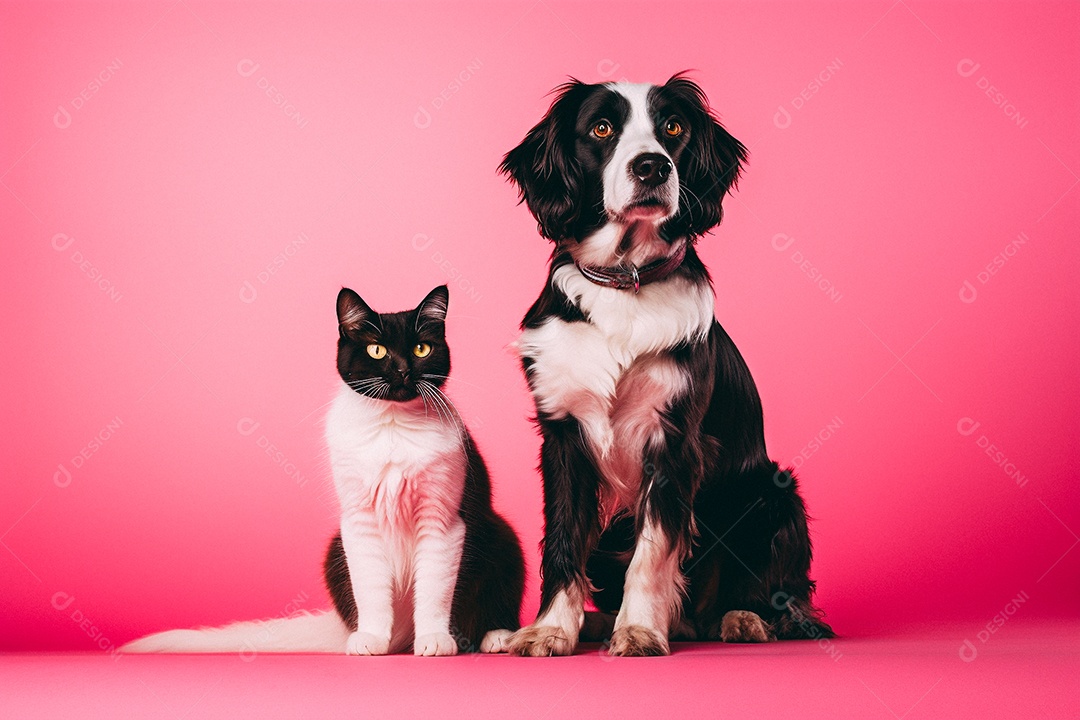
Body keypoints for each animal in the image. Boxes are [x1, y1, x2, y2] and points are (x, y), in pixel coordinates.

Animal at [119, 284, 527, 656]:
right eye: (376, 350)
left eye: (421, 349)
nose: (402, 370)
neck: (392, 426)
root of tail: (402, 632)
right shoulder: (357, 522)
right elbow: (369, 586)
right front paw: (370, 638)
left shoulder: (443, 519)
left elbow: (434, 588)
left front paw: (434, 639)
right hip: (336, 548)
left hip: (501, 535)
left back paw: (496, 636)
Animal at [498, 76, 833, 656]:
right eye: (601, 128)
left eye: (673, 127)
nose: (652, 166)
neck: (625, 280)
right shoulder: (563, 436)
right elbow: (562, 541)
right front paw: (550, 629)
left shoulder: (673, 438)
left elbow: (653, 552)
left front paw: (638, 628)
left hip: (772, 493)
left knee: (763, 593)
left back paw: (741, 619)